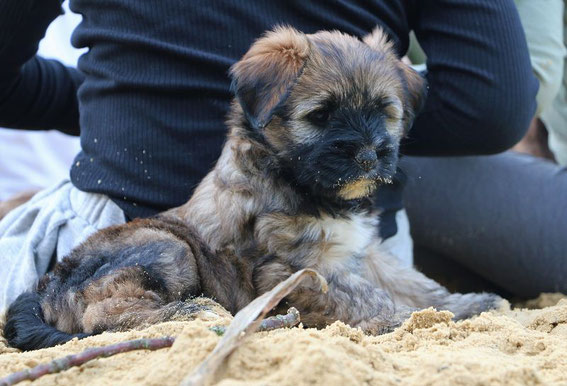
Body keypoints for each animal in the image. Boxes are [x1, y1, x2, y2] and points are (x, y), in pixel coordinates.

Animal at [4, 25, 502, 352]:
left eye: (384, 111)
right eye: (320, 115)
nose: (367, 156)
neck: (296, 180)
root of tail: (43, 292)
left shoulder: (361, 250)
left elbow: (413, 281)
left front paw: (459, 305)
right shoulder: (291, 268)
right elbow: (366, 296)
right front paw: (405, 320)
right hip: (168, 247)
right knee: (101, 318)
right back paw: (189, 313)